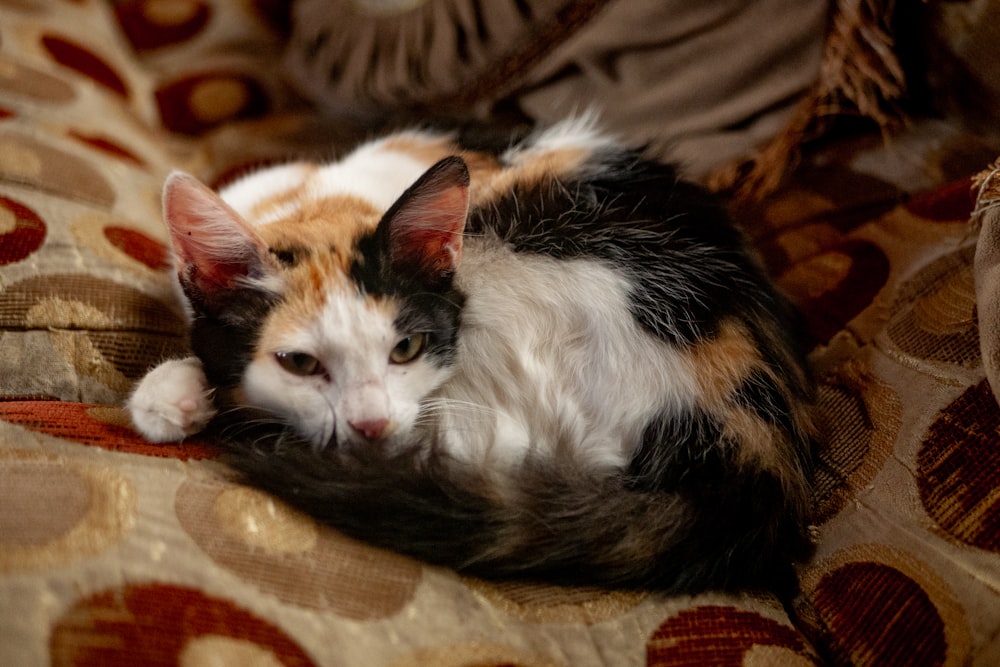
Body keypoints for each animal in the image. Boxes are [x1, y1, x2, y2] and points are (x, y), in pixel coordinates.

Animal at [127, 117, 812, 592]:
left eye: (405, 348)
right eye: (300, 364)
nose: (370, 425)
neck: (321, 201)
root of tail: (757, 457)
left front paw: (183, 394)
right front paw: (179, 393)